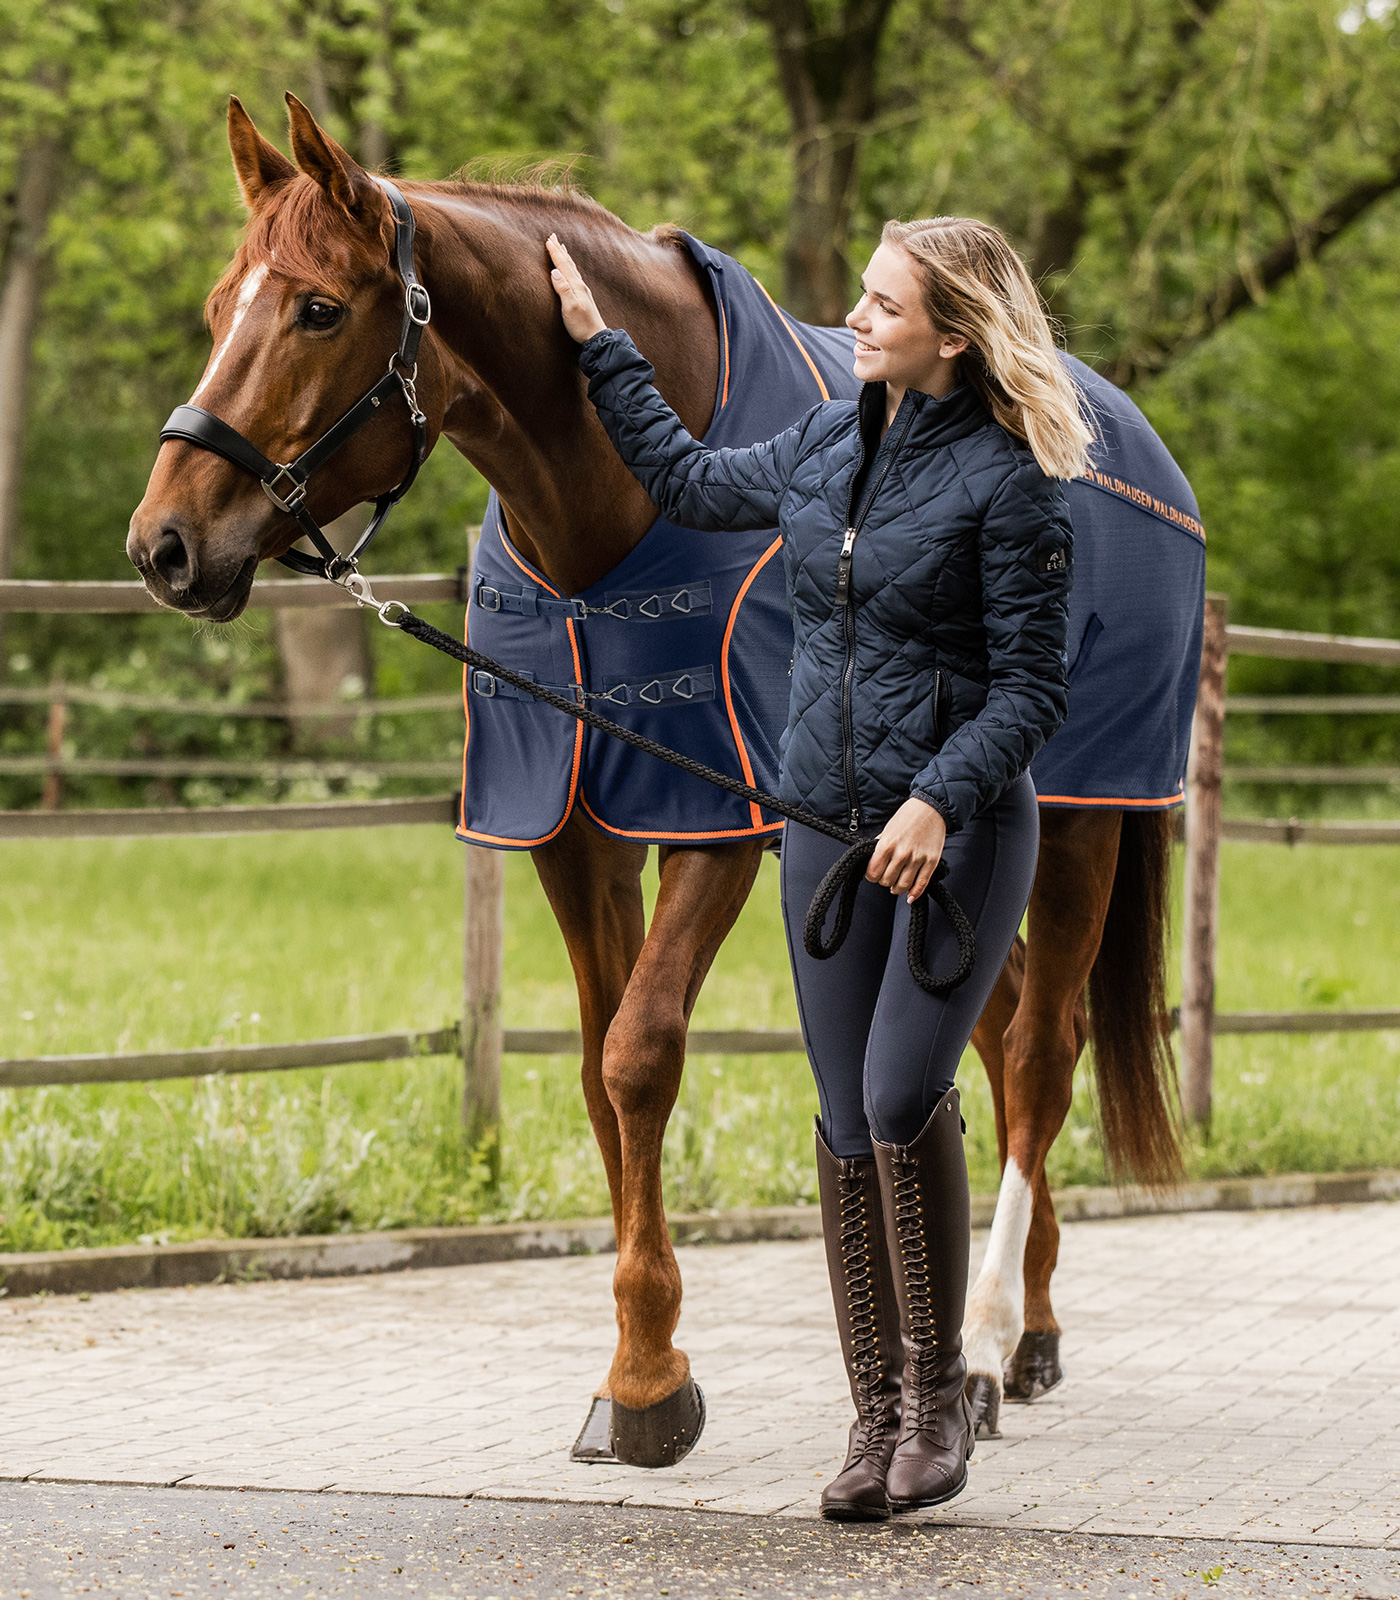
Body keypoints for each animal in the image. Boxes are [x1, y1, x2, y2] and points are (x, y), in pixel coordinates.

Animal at [128, 100, 1184, 1465]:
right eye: (220, 306)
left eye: (316, 308)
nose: (165, 544)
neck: (604, 513)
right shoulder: (573, 829)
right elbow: (594, 1068)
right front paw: (643, 1362)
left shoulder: (719, 823)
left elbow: (640, 1055)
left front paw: (643, 1384)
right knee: (990, 1044)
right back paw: (1026, 1331)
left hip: (1080, 822)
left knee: (1043, 1056)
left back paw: (998, 1337)